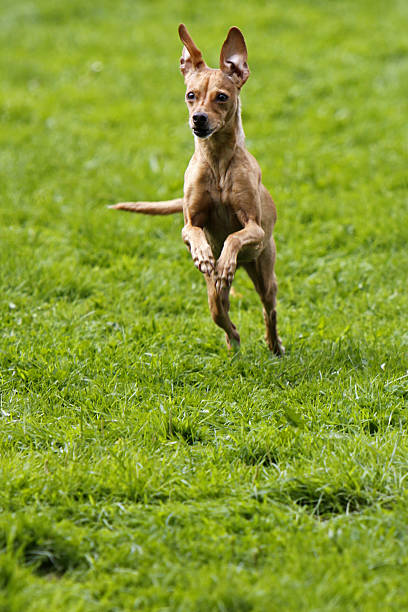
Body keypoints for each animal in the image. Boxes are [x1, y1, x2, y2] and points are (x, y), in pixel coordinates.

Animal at [111, 25, 284, 358]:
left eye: (222, 97)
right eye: (191, 95)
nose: (198, 118)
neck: (217, 163)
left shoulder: (254, 227)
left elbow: (234, 236)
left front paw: (225, 259)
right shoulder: (189, 224)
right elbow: (194, 233)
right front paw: (204, 254)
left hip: (264, 269)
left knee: (269, 309)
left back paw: (275, 345)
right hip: (218, 288)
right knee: (218, 306)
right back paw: (233, 339)